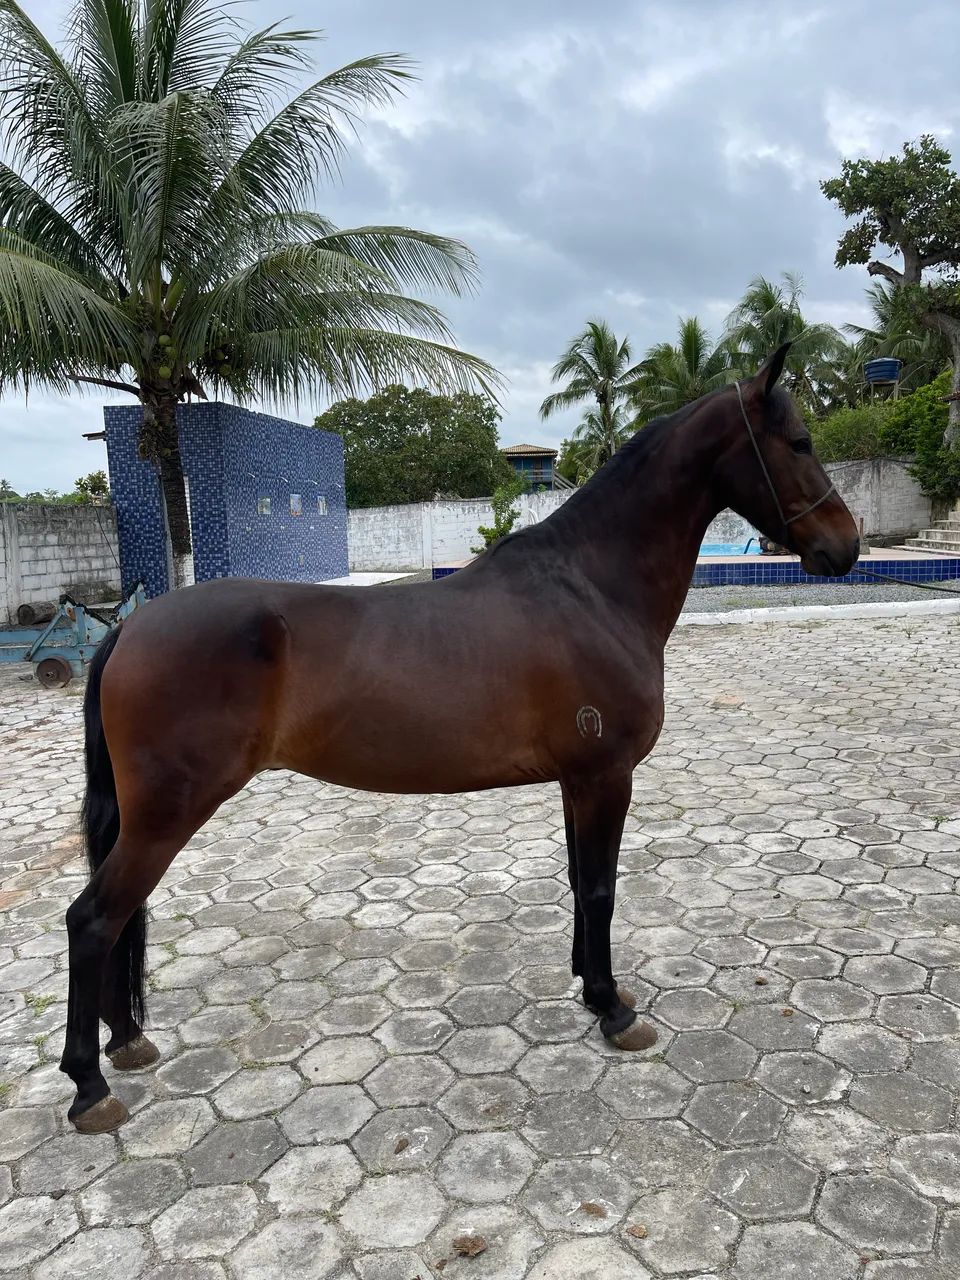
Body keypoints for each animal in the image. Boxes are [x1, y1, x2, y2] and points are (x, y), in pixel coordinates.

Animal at [61, 344, 859, 1132]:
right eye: (799, 443)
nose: (845, 547)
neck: (591, 587)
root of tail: (133, 625)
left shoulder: (577, 781)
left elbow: (580, 882)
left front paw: (587, 985)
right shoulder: (607, 775)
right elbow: (601, 888)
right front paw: (613, 1010)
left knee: (117, 920)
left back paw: (125, 1042)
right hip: (166, 815)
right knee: (94, 920)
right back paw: (90, 1087)